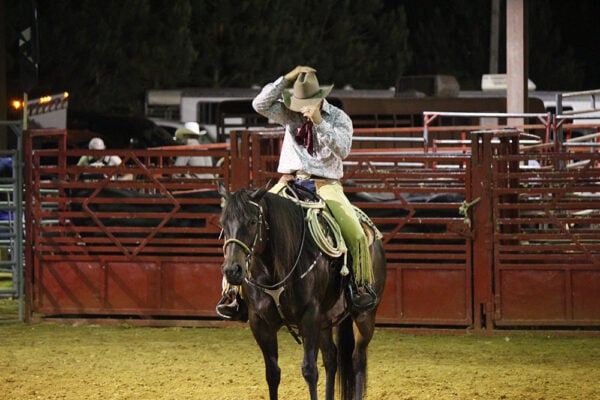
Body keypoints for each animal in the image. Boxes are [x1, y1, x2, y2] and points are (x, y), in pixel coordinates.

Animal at [218, 183, 386, 398]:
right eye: (223, 223)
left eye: (253, 221)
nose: (232, 270)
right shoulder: (260, 322)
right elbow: (272, 373)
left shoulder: (309, 317)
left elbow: (309, 371)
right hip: (325, 321)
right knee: (331, 359)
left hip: (364, 316)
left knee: (358, 359)